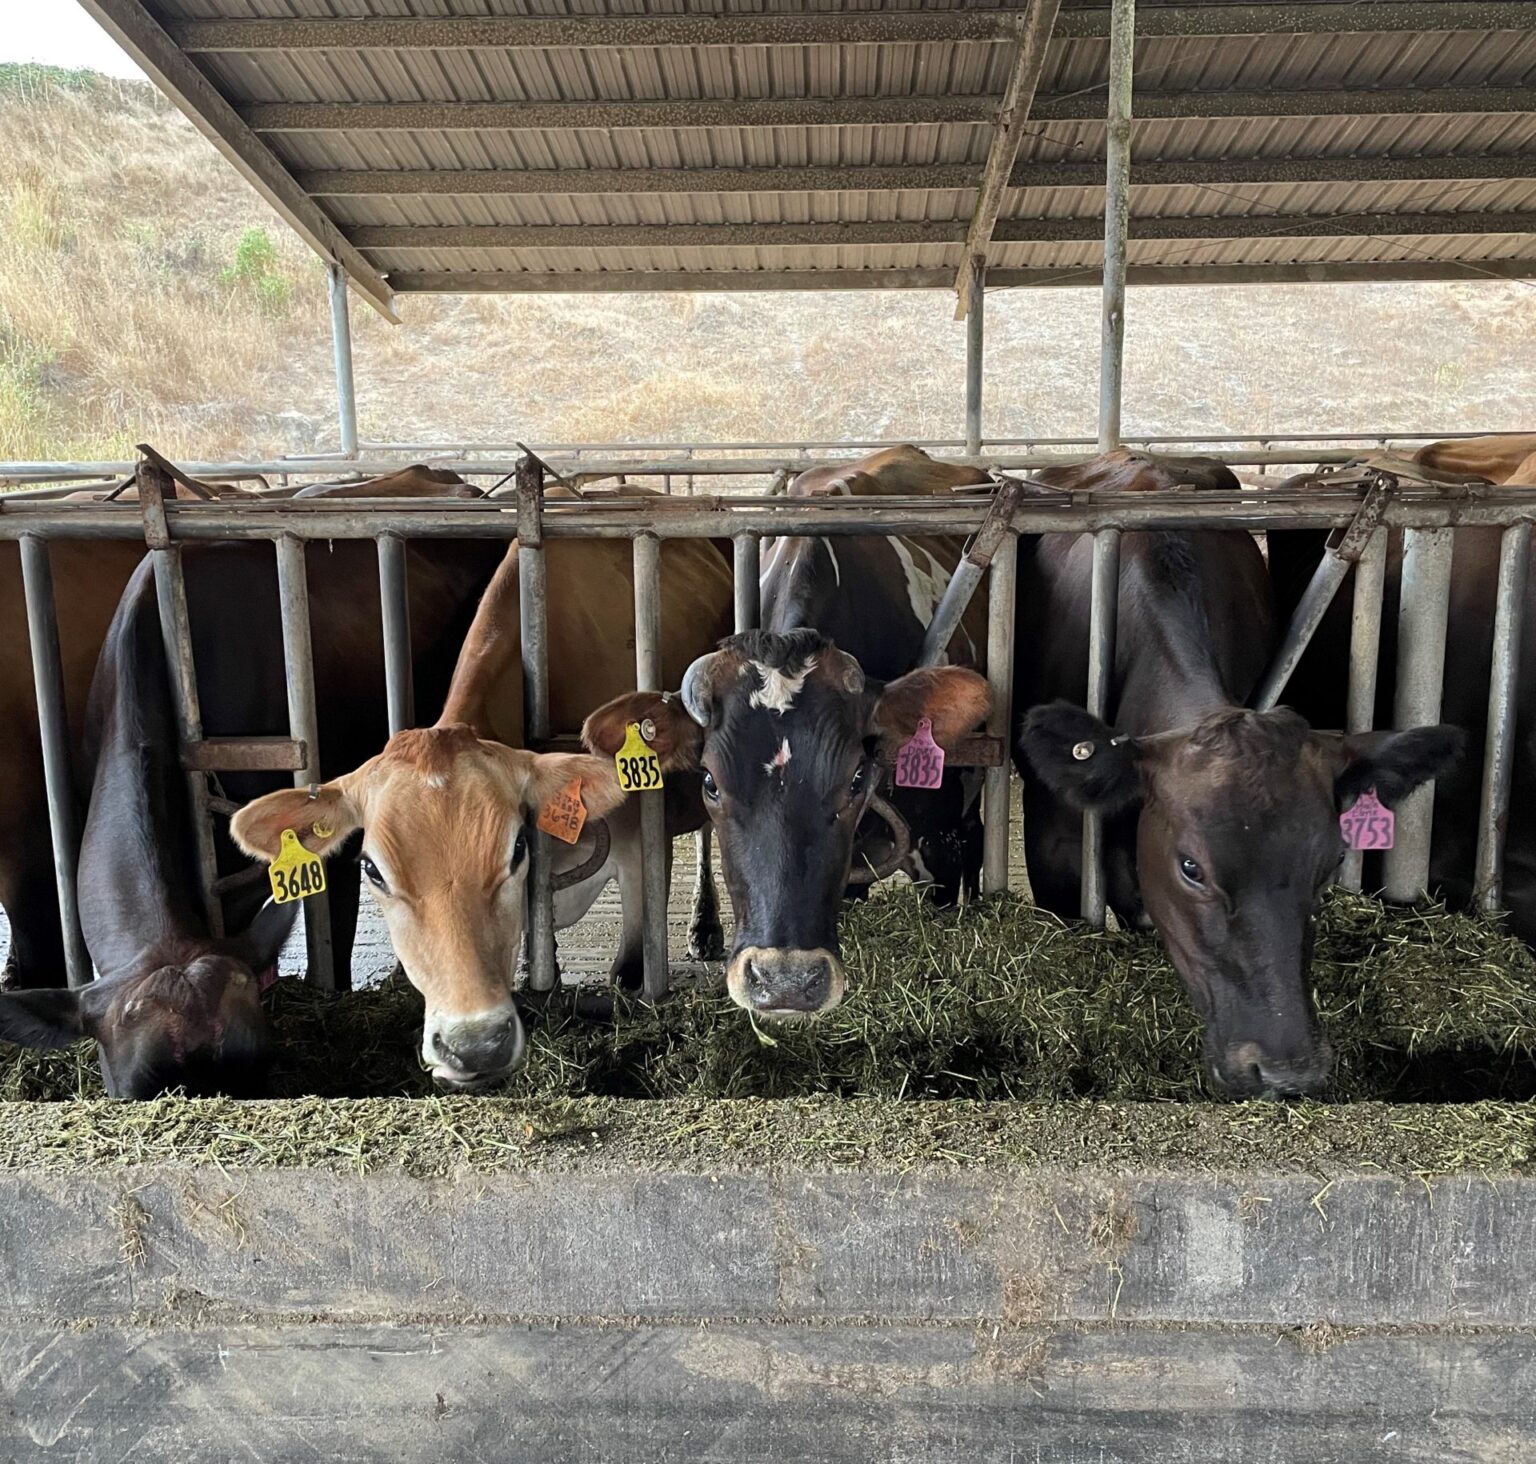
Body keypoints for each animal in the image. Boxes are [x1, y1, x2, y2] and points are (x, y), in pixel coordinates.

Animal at [231, 526, 735, 1091]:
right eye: (371, 870)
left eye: (516, 848)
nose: (473, 1046)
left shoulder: (640, 848)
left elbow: (629, 971)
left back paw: (704, 927)